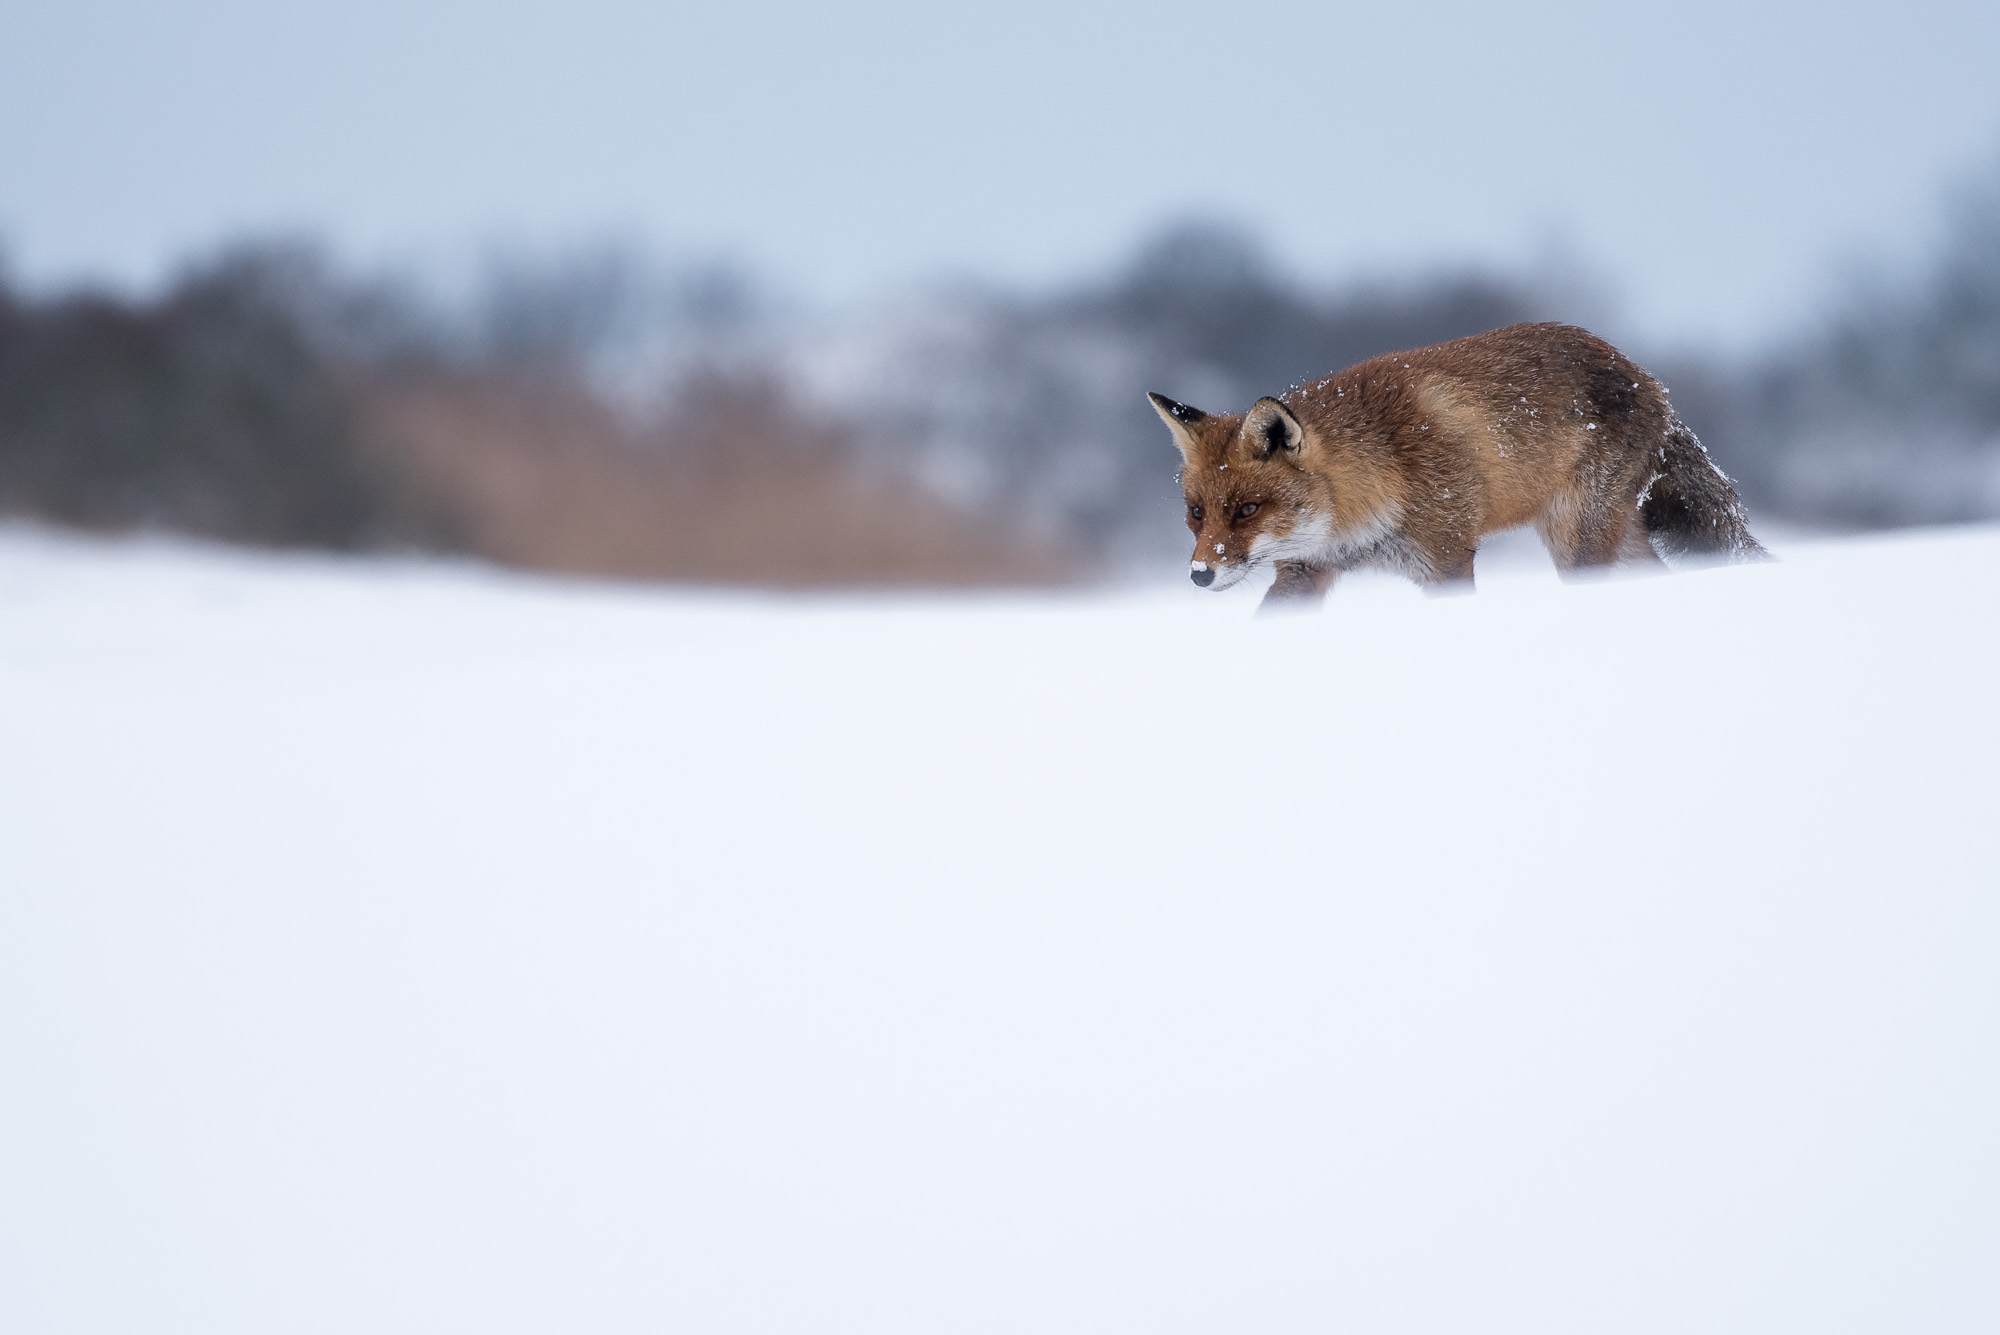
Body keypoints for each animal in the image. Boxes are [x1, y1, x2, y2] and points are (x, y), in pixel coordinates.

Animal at [1149, 322, 1766, 609]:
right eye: (1197, 514)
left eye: (1248, 509)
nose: (1199, 575)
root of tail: (1647, 378)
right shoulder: (1305, 570)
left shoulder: (1445, 559)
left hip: (1577, 542)